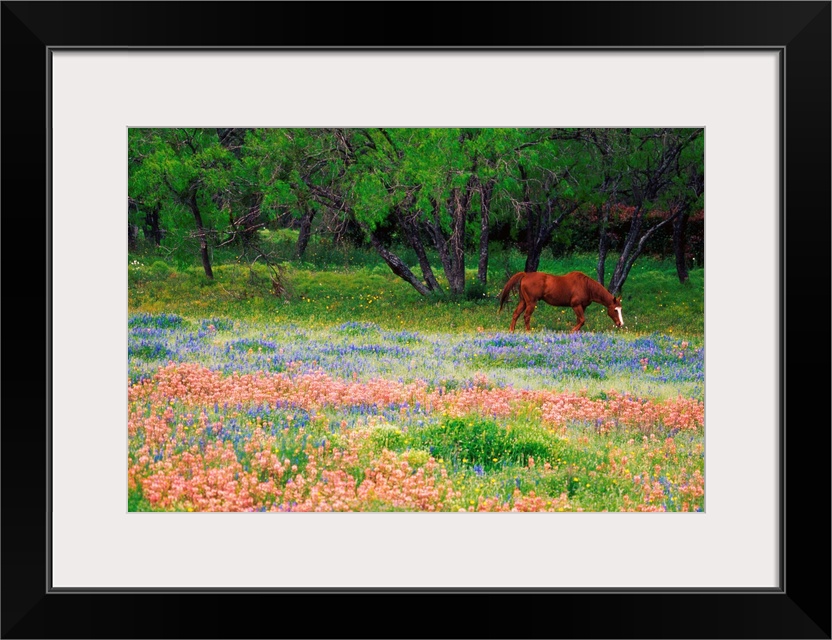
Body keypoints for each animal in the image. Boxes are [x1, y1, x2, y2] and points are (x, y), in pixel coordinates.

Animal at [494, 270, 624, 332]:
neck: (586, 286)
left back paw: (512, 331)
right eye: (615, 310)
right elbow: (582, 320)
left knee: (516, 314)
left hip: (523, 301)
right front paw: (571, 332)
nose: (620, 324)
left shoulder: (582, 307)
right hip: (531, 303)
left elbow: (579, 321)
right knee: (526, 316)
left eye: (620, 309)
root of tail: (525, 275)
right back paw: (528, 332)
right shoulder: (576, 305)